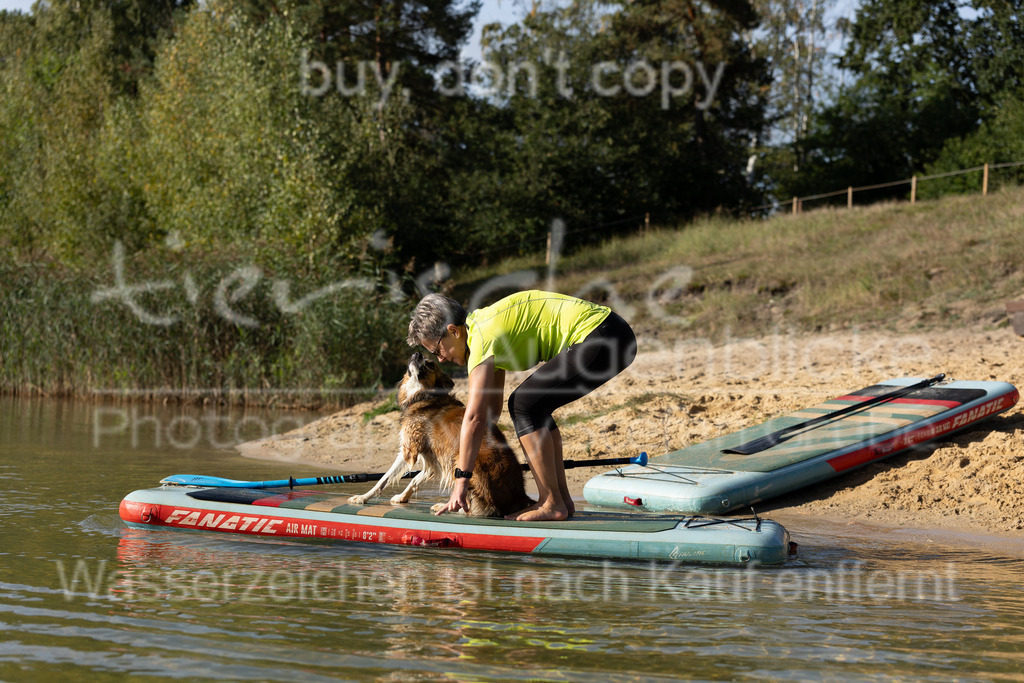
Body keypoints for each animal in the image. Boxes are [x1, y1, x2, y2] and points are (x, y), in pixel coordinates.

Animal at [346, 352, 536, 518]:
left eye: (430, 364)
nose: (417, 353)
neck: (423, 395)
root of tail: (519, 497)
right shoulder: (432, 460)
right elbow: (414, 480)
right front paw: (401, 497)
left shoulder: (409, 449)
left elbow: (384, 479)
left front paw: (362, 497)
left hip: (459, 459)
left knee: (475, 506)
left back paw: (449, 506)